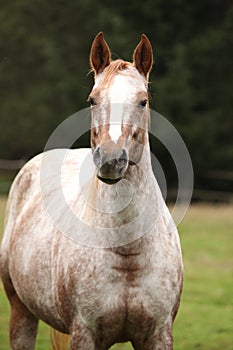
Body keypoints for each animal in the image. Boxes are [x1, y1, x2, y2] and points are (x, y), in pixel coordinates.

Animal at [0, 32, 184, 350]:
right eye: (93, 100)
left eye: (143, 101)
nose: (111, 160)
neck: (128, 253)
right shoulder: (84, 333)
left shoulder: (159, 334)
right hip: (21, 313)